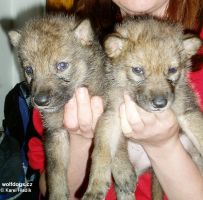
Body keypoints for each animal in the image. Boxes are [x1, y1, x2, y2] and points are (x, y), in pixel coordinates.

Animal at [8, 16, 107, 200]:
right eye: (29, 70)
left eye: (62, 66)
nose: (40, 101)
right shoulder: (56, 133)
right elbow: (55, 172)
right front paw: (58, 195)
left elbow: (103, 154)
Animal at [83, 17, 203, 200]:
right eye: (138, 70)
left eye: (172, 70)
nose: (160, 104)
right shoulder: (111, 116)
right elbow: (101, 152)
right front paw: (95, 187)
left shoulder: (188, 111)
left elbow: (200, 133)